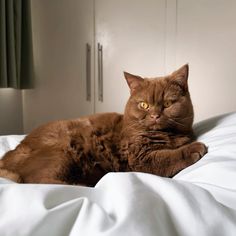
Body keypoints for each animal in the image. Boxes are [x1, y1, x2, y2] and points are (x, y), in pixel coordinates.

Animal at [0, 64, 206, 186]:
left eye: (168, 104)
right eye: (144, 105)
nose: (155, 115)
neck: (167, 135)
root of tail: (9, 155)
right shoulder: (139, 158)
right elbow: (168, 157)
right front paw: (194, 148)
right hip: (61, 153)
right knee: (38, 180)